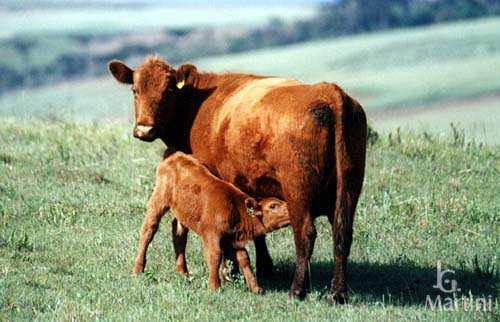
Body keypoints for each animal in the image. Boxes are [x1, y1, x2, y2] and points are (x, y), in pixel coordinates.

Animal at [133, 152, 290, 294]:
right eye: (273, 206)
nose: (290, 209)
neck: (235, 208)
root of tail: (175, 156)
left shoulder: (233, 239)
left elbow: (244, 259)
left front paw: (256, 288)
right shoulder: (211, 235)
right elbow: (215, 256)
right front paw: (215, 287)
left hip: (182, 214)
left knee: (179, 235)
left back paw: (183, 273)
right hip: (158, 200)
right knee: (148, 230)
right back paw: (138, 270)